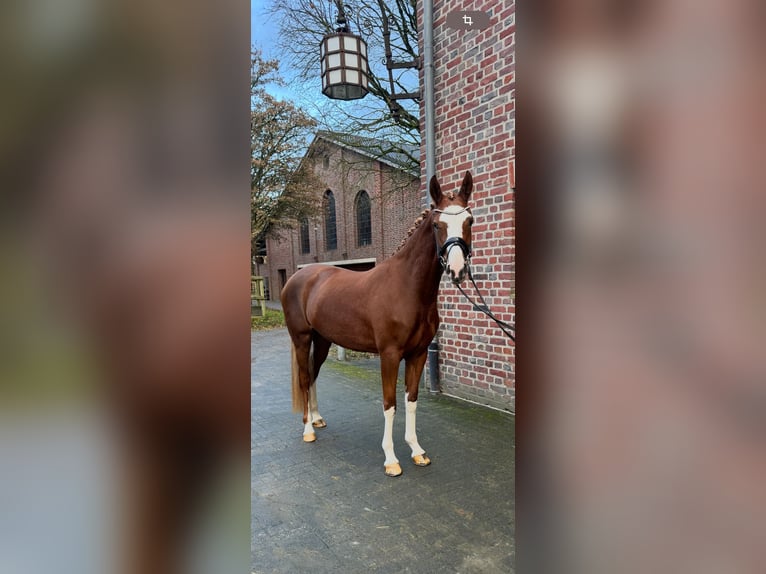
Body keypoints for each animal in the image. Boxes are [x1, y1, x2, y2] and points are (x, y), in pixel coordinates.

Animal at [282, 173, 474, 480]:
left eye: (470, 221)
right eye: (437, 225)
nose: (457, 271)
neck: (407, 289)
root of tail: (298, 278)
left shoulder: (419, 354)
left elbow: (411, 401)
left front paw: (416, 451)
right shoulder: (390, 355)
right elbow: (389, 404)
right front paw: (391, 459)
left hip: (322, 340)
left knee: (312, 375)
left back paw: (317, 418)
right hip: (301, 339)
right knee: (303, 378)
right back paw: (308, 429)